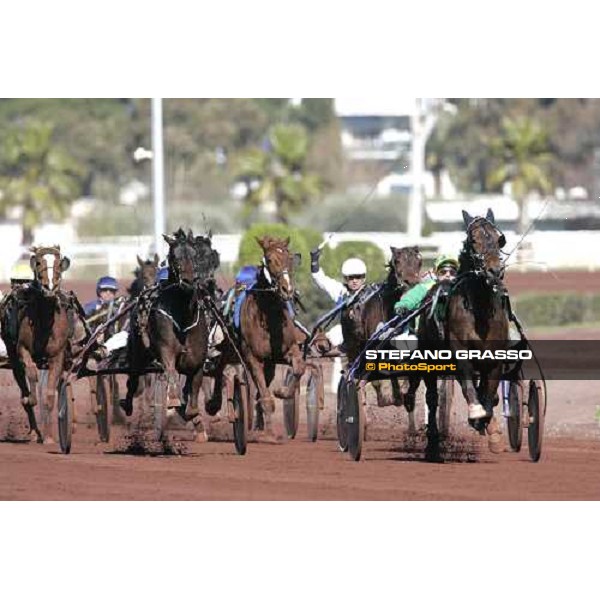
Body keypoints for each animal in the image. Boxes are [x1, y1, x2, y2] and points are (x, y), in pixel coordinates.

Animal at [0, 246, 86, 442]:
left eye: (58, 263)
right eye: (38, 262)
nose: (50, 287)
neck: (45, 323)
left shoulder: (58, 355)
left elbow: (50, 390)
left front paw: (50, 438)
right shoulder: (22, 349)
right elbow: (31, 374)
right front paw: (30, 399)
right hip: (12, 353)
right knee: (21, 379)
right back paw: (34, 430)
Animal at [120, 230, 219, 436]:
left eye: (195, 256)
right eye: (174, 256)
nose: (189, 281)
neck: (183, 317)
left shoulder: (197, 358)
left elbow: (194, 387)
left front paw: (194, 416)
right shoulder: (165, 347)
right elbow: (170, 369)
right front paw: (172, 401)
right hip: (137, 350)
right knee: (134, 378)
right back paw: (129, 404)